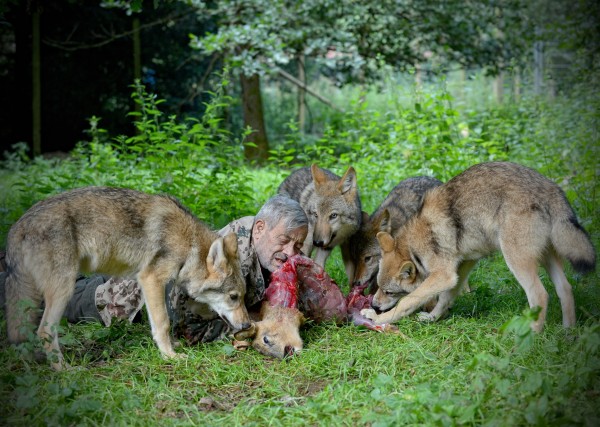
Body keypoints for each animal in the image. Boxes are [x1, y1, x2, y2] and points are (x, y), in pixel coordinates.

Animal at [4, 187, 250, 372]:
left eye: (243, 296)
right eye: (233, 297)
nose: (248, 324)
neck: (190, 245)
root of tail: (17, 226)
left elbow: (162, 321)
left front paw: (172, 346)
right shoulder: (150, 279)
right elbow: (163, 322)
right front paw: (169, 355)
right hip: (64, 290)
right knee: (44, 331)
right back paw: (64, 370)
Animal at [360, 162, 596, 332]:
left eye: (389, 291)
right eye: (377, 286)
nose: (374, 305)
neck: (414, 245)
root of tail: (551, 188)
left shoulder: (443, 275)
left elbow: (408, 301)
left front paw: (379, 318)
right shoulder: (461, 268)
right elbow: (445, 298)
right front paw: (432, 318)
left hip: (516, 261)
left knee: (540, 296)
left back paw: (529, 338)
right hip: (547, 259)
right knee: (565, 289)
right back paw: (567, 333)